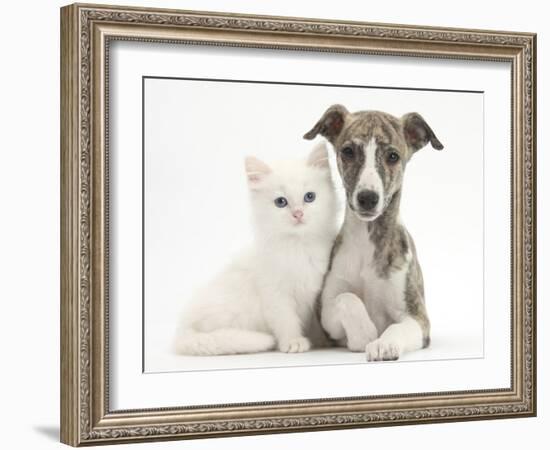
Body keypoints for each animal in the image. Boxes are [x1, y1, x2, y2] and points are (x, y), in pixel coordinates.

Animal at [177, 144, 340, 356]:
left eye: (309, 197)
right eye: (281, 202)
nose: (298, 214)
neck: (298, 246)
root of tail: (182, 330)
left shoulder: (313, 295)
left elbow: (314, 323)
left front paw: (321, 341)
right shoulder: (275, 294)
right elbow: (286, 321)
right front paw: (293, 342)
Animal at [304, 103, 446, 360]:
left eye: (393, 156)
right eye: (348, 151)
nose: (368, 198)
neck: (367, 241)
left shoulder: (418, 318)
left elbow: (396, 328)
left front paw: (383, 344)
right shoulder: (326, 313)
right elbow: (347, 299)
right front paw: (365, 334)